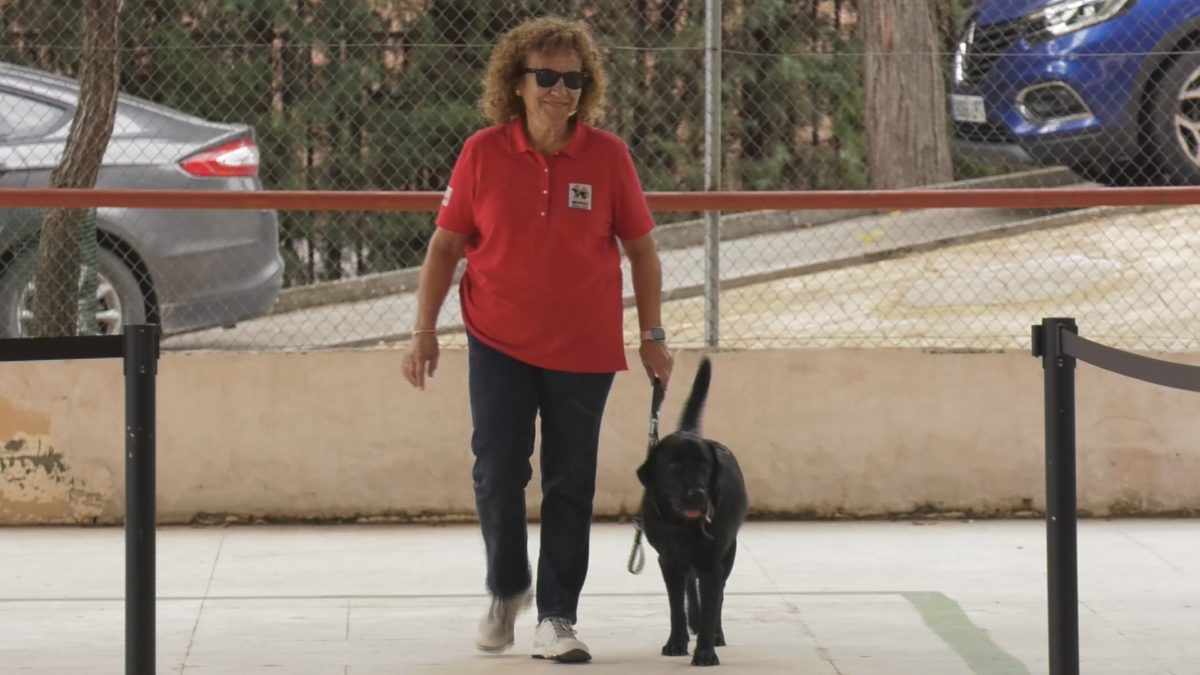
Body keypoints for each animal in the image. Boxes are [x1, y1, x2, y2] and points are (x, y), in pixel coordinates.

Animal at [638, 355, 739, 662]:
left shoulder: (713, 562)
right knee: (690, 589)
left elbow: (712, 604)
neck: (684, 527)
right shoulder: (668, 562)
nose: (697, 495)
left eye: (704, 465)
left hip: (728, 554)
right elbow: (675, 607)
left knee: (716, 595)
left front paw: (705, 652)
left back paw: (715, 632)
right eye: (674, 466)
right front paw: (676, 643)